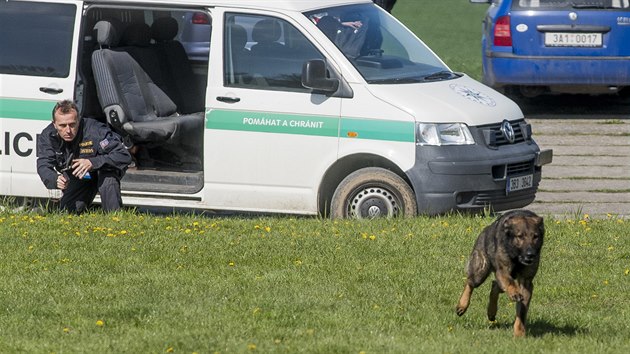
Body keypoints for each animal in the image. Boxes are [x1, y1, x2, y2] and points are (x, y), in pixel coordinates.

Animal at [456, 210, 544, 338]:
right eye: (520, 236)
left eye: (535, 237)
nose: (530, 254)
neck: (516, 257)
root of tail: (486, 229)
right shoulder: (503, 271)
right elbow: (510, 283)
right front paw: (514, 292)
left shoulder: (526, 283)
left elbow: (521, 311)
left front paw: (519, 333)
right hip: (481, 271)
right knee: (470, 282)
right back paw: (462, 305)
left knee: (494, 286)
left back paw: (491, 311)